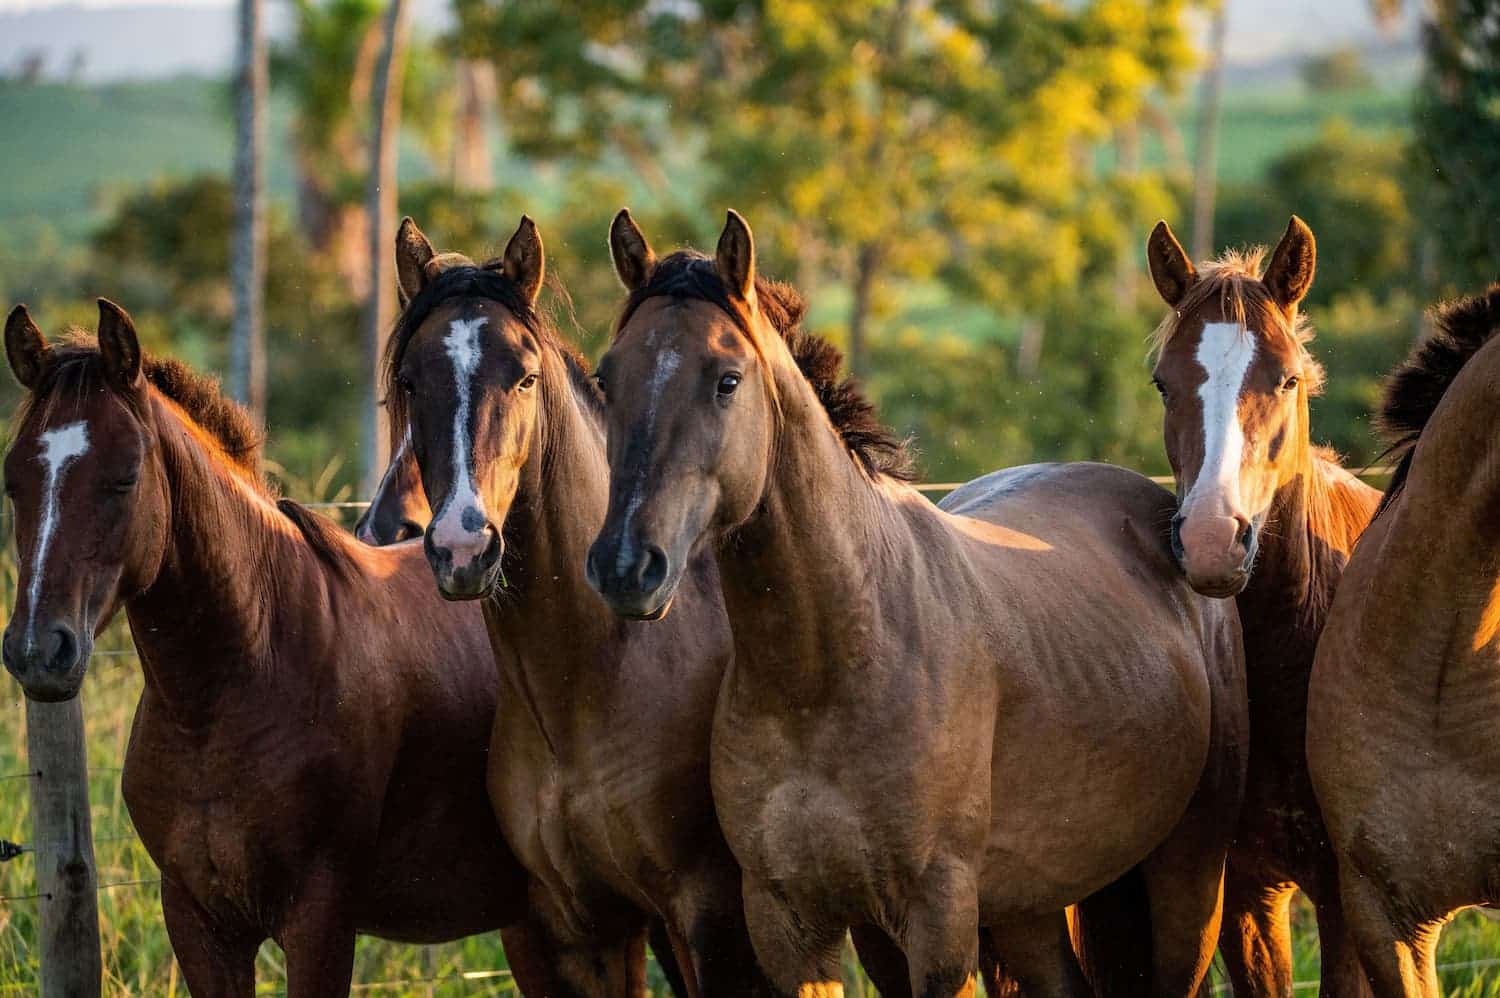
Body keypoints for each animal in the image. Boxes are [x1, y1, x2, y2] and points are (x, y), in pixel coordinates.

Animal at [588, 210, 1254, 996]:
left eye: (727, 380)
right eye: (605, 377)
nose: (627, 564)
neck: (828, 670)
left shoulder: (938, 926)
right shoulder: (794, 929)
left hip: (1187, 879)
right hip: (1028, 911)